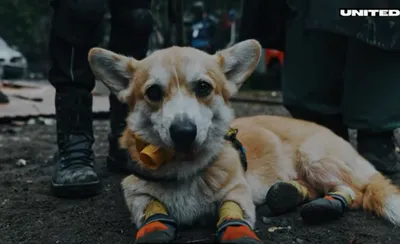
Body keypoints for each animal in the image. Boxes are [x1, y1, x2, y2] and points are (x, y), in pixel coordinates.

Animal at [88, 39, 400, 243]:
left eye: (204, 87)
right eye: (153, 93)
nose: (184, 131)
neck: (186, 170)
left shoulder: (237, 192)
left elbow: (233, 216)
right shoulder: (135, 192)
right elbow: (151, 210)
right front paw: (155, 227)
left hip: (314, 158)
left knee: (354, 192)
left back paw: (327, 204)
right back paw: (289, 193)